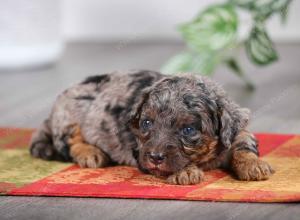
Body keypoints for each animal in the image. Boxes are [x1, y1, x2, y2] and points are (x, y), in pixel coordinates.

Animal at [30, 69, 274, 185]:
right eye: (147, 123)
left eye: (188, 130)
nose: (155, 157)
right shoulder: (139, 150)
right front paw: (185, 172)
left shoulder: (237, 131)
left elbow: (243, 143)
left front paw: (253, 165)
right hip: (70, 114)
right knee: (69, 141)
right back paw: (90, 152)